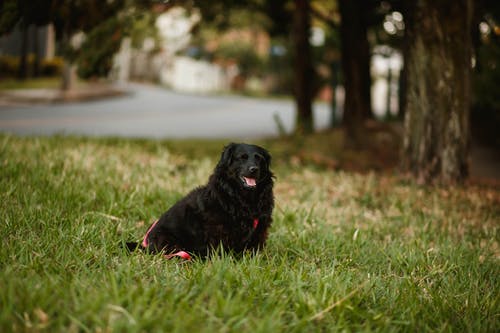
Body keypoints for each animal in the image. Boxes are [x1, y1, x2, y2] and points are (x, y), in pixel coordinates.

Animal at [125, 143, 274, 260]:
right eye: (242, 158)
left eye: (259, 159)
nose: (254, 169)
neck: (243, 198)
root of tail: (146, 242)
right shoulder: (218, 232)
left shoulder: (259, 231)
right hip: (168, 239)